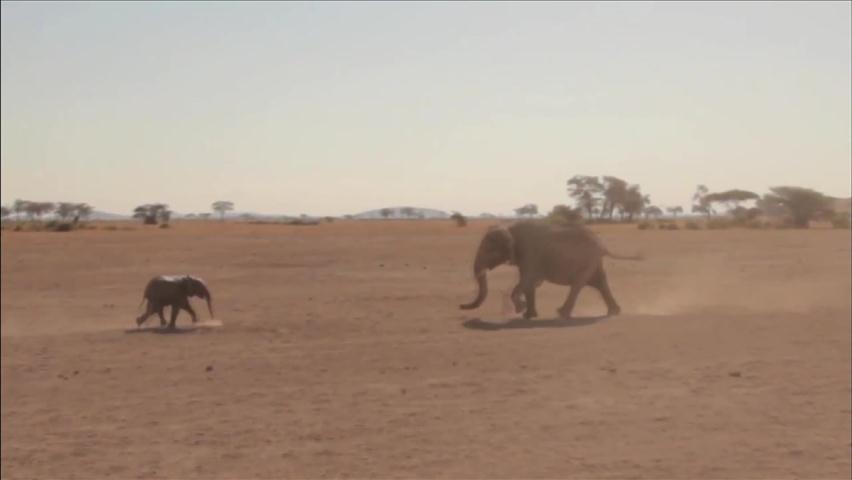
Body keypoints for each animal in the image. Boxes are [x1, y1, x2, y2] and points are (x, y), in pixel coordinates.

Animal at [460, 221, 640, 318]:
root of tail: (603, 245)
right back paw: (614, 312)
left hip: (587, 261)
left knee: (578, 285)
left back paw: (561, 313)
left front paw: (520, 308)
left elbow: (526, 281)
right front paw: (528, 315)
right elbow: (530, 285)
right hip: (593, 262)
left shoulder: (530, 254)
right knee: (599, 283)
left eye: (488, 250)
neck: (509, 229)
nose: (461, 306)